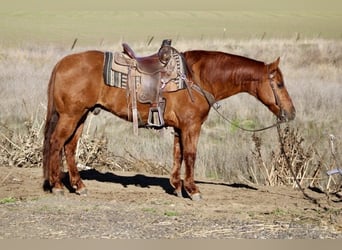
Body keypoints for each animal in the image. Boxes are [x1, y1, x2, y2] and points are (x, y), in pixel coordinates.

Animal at [42, 47, 296, 200]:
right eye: (279, 84)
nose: (291, 113)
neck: (197, 77)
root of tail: (62, 63)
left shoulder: (179, 128)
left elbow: (178, 154)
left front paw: (177, 186)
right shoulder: (192, 126)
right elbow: (191, 155)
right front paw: (193, 190)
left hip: (81, 116)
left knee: (69, 147)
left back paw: (79, 186)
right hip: (70, 116)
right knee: (55, 143)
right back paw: (57, 186)